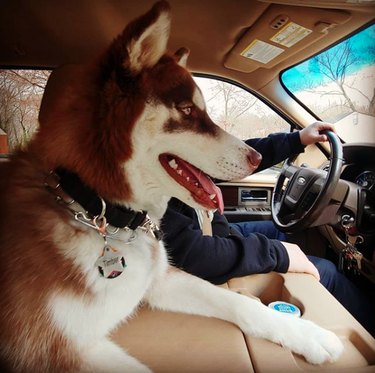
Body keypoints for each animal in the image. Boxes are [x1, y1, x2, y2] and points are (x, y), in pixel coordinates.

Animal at [0, 1, 344, 370]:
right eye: (188, 110)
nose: (256, 157)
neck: (96, 208)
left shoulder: (160, 279)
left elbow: (238, 302)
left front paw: (307, 333)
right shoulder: (52, 349)